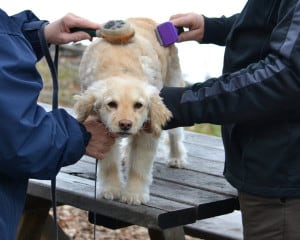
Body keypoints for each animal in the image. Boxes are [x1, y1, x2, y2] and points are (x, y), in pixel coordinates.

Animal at [74, 17, 186, 204]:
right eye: (111, 104)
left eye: (138, 105)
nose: (125, 125)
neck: (121, 69)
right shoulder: (103, 129)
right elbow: (109, 163)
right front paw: (111, 189)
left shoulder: (148, 130)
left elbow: (139, 165)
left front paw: (135, 195)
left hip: (174, 79)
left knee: (175, 133)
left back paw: (176, 157)